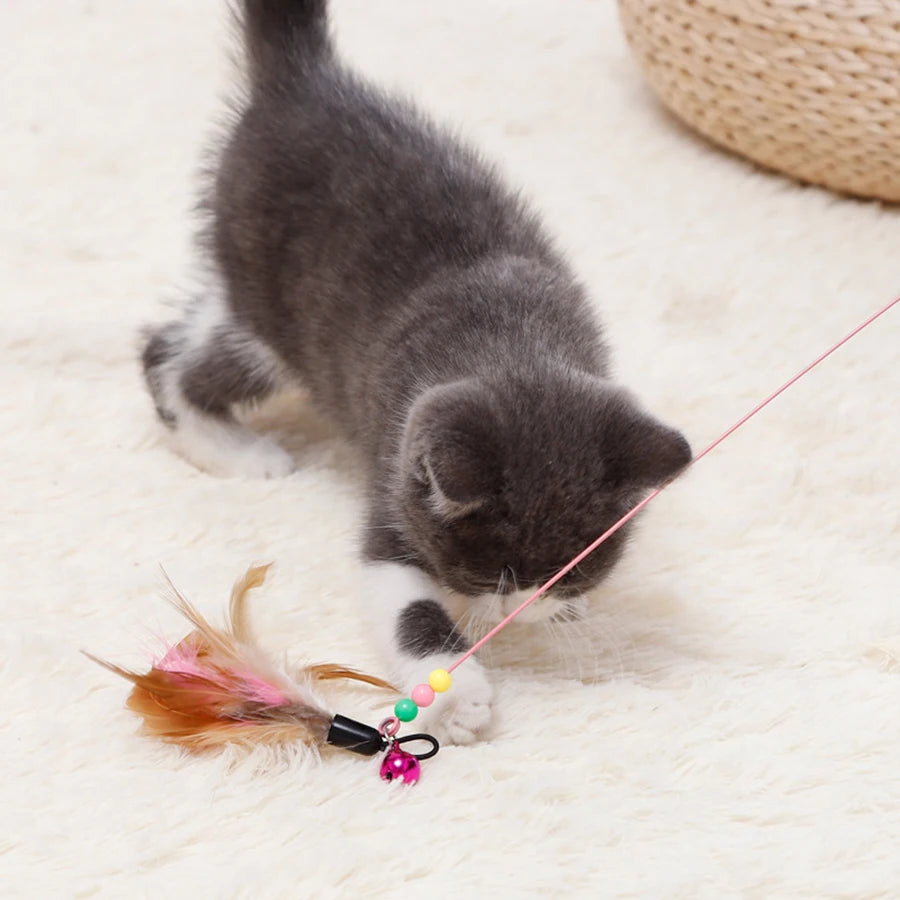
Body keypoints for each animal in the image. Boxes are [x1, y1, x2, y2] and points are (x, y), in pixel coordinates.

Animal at [142, 0, 688, 740]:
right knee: (170, 353)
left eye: (571, 568)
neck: (514, 342)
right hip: (269, 308)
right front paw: (457, 696)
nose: (522, 608)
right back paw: (234, 448)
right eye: (489, 568)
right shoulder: (396, 476)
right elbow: (404, 602)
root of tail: (302, 78)